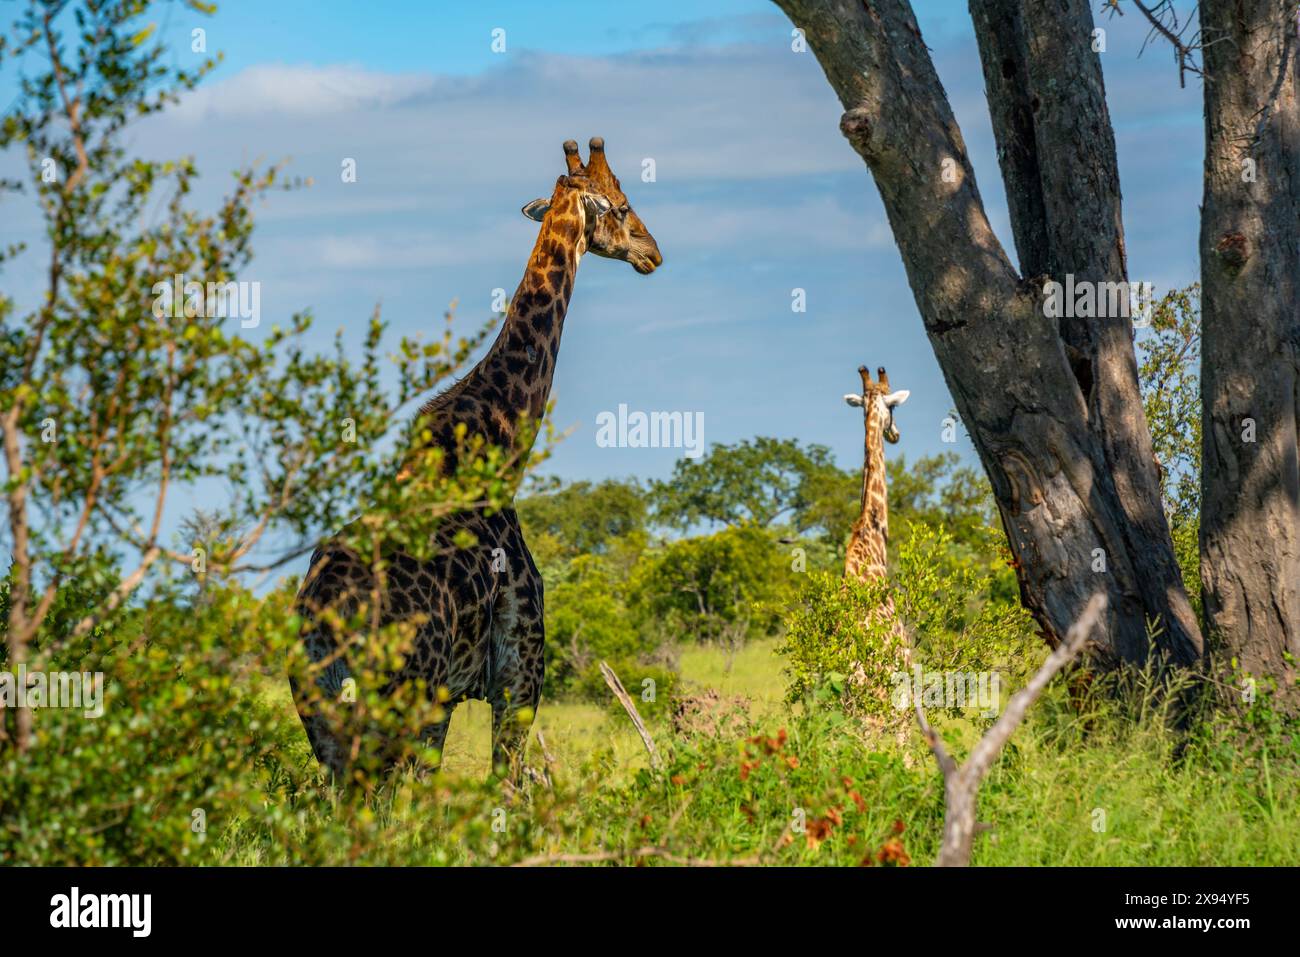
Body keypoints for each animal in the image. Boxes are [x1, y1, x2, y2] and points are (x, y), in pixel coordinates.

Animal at [291, 138, 661, 785]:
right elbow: (503, 786)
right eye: (620, 206)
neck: (501, 447)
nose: (653, 252)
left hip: (327, 716)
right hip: (399, 700)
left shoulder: (448, 701)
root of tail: (327, 615)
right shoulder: (519, 672)